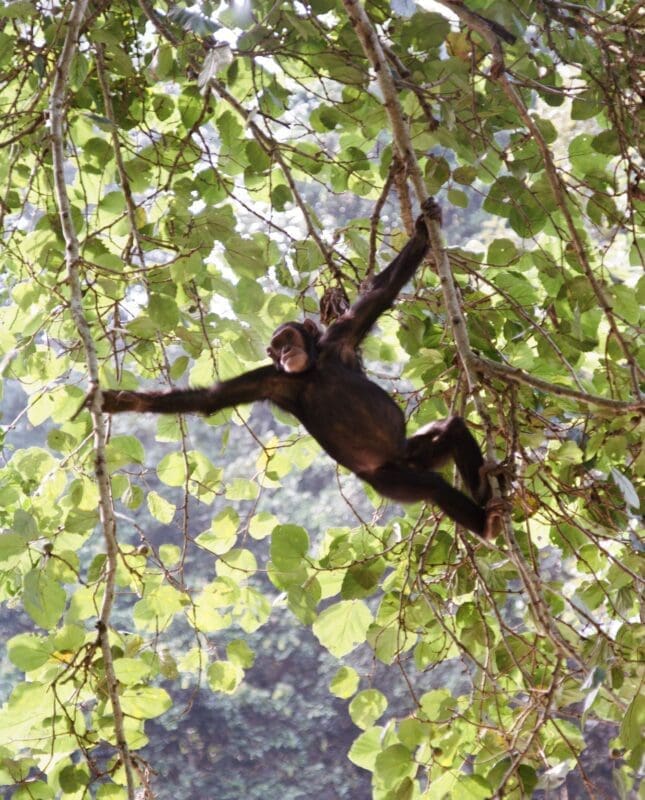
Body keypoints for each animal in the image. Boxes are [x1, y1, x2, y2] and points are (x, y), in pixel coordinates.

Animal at [103, 199, 498, 536]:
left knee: (452, 429)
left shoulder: (343, 334)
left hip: (412, 456)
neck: (311, 372)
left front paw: (420, 231)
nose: (285, 352)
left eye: (287, 338)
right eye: (276, 347)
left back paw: (486, 496)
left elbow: (382, 291)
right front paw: (121, 401)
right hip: (389, 480)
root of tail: (399, 458)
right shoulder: (269, 380)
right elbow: (210, 398)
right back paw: (486, 522)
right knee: (431, 485)